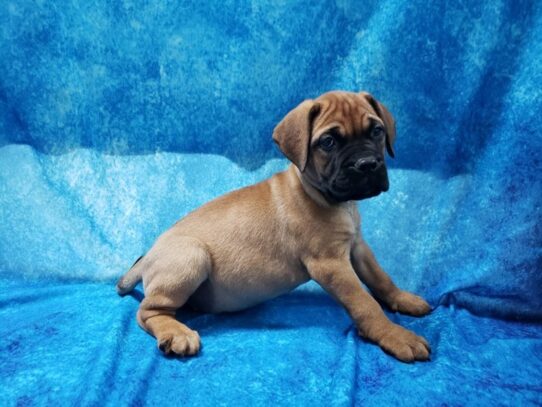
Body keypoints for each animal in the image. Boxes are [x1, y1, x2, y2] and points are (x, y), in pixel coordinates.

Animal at [118, 91, 434, 364]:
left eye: (377, 131)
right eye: (328, 142)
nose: (367, 164)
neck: (327, 198)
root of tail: (149, 255)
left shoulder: (357, 246)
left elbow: (381, 278)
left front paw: (403, 299)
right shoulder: (331, 263)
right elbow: (365, 303)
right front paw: (395, 335)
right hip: (191, 256)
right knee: (147, 311)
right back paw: (176, 333)